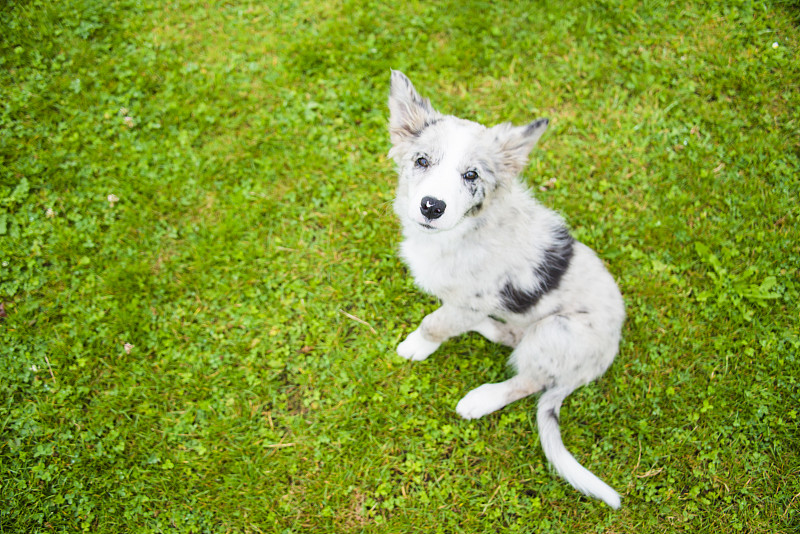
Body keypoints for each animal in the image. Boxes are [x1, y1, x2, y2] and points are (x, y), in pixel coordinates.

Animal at [388, 71, 624, 510]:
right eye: (422, 161)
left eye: (472, 175)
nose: (431, 206)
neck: (463, 231)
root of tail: (600, 362)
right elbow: (445, 314)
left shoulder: (476, 297)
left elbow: (434, 323)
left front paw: (416, 346)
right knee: (513, 338)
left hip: (555, 332)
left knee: (529, 380)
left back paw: (481, 399)